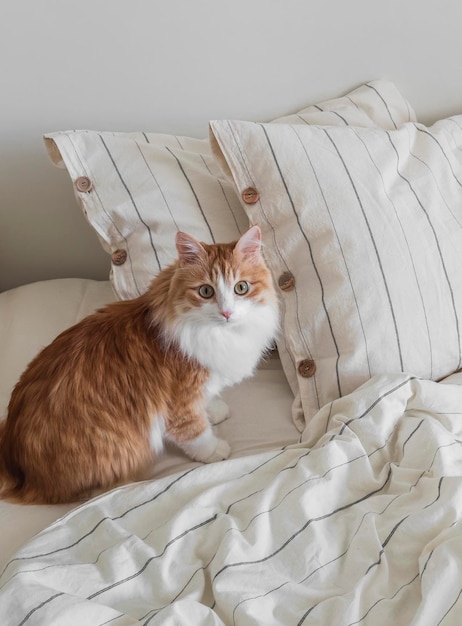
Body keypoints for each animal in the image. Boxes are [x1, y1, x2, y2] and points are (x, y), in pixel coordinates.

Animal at [0, 224, 278, 502]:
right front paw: (213, 450)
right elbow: (195, 433)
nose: (227, 313)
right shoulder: (178, 402)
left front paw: (215, 409)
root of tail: (14, 458)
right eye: (206, 291)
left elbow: (207, 400)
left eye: (241, 288)